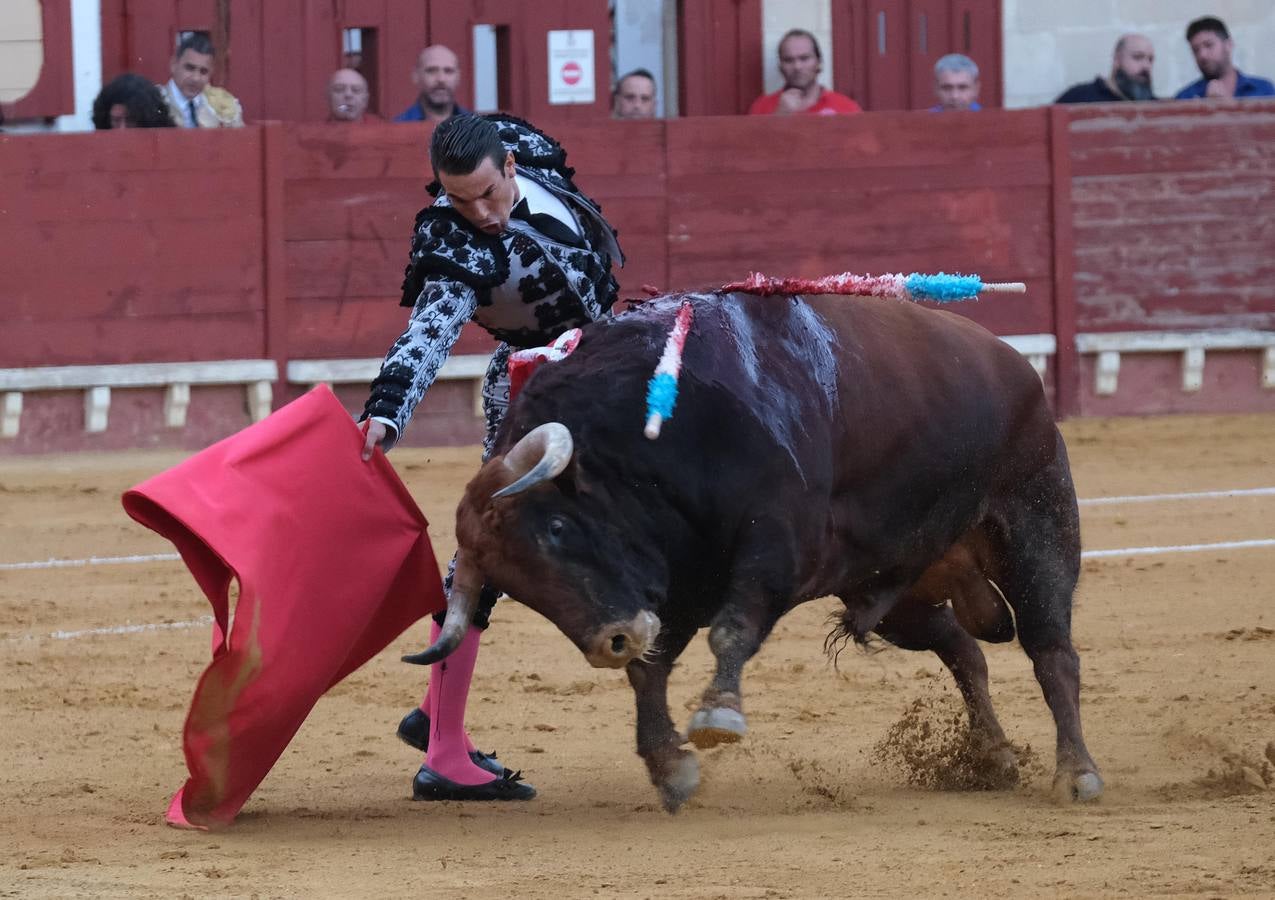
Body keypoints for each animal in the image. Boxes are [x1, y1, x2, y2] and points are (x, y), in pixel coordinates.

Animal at [402, 290, 1101, 810]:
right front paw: (671, 768)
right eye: (516, 587)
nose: (611, 641)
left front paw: (717, 717)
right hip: (896, 588)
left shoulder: (774, 549)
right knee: (963, 650)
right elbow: (649, 670)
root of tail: (1009, 361)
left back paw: (1076, 774)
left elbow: (732, 631)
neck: (650, 446)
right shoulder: (678, 584)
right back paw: (995, 757)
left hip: (1036, 523)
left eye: (555, 527)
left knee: (1051, 651)